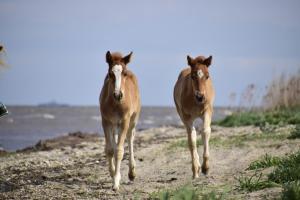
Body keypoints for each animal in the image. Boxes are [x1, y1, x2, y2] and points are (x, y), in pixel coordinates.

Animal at [99, 50, 140, 190]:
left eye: (124, 73)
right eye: (110, 73)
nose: (118, 95)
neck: (116, 104)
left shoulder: (124, 122)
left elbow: (119, 151)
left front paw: (116, 181)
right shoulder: (106, 121)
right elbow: (110, 150)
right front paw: (112, 175)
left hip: (133, 120)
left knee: (130, 138)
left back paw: (132, 173)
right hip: (114, 125)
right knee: (114, 141)